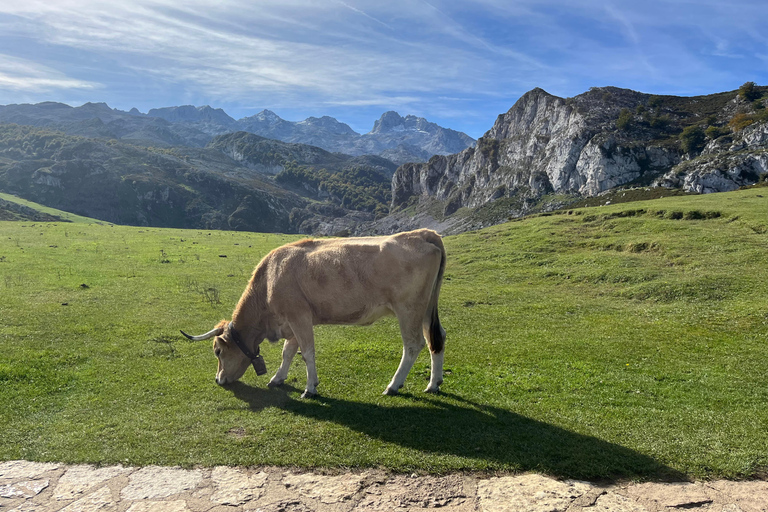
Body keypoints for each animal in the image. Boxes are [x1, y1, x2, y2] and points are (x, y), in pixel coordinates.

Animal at [183, 229, 448, 400]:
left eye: (218, 351)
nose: (218, 379)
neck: (268, 282)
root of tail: (423, 233)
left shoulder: (299, 316)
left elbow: (307, 352)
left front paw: (310, 388)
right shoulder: (291, 321)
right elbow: (288, 352)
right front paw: (278, 378)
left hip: (408, 308)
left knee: (413, 345)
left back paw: (393, 385)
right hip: (426, 308)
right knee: (437, 339)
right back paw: (433, 384)